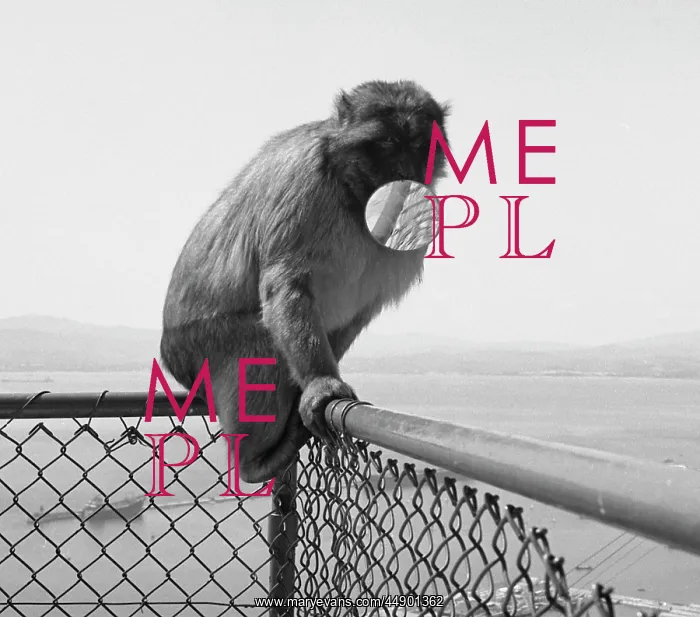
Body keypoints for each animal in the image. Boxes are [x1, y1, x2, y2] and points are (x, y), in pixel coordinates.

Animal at [159, 79, 450, 484]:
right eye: (389, 142)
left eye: (421, 143)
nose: (406, 170)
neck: (351, 192)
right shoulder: (306, 184)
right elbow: (287, 285)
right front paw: (321, 382)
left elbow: (358, 313)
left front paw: (312, 384)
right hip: (197, 346)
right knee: (260, 344)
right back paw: (252, 462)